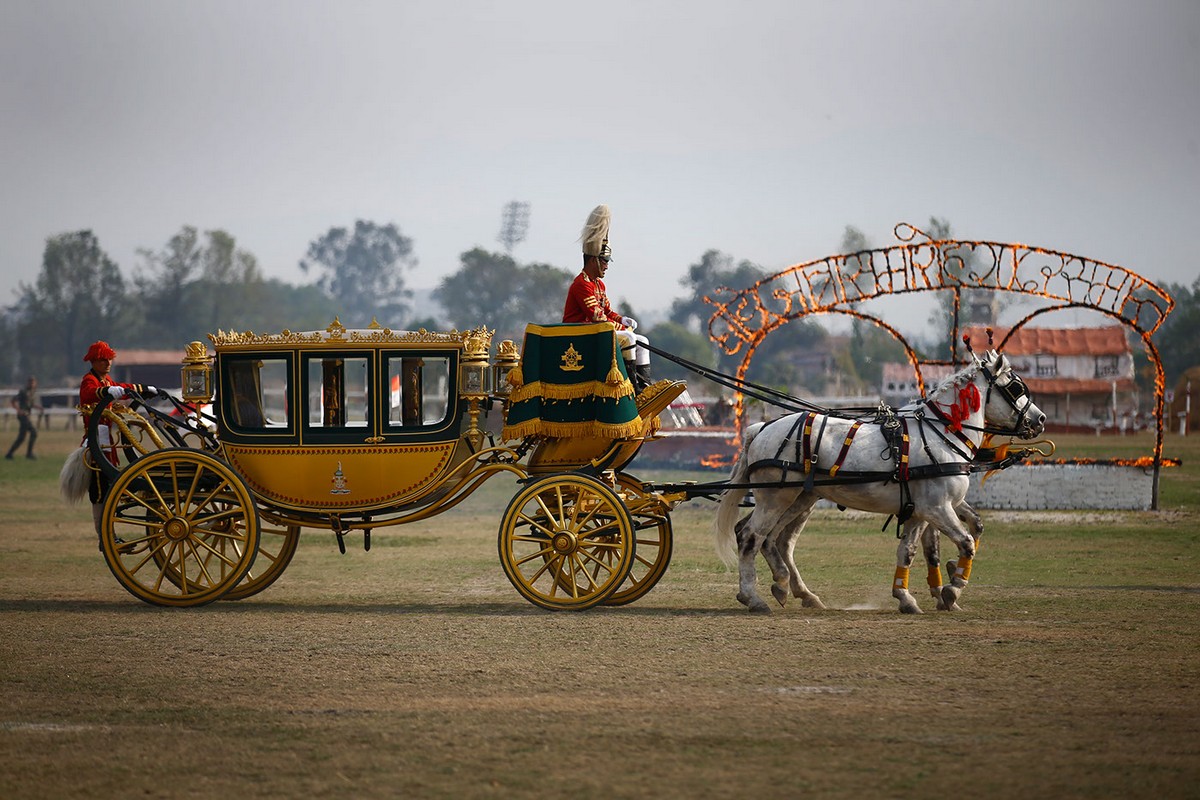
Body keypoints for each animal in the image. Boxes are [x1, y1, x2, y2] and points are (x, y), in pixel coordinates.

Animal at [715, 347, 1046, 618]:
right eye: (1015, 386)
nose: (1040, 419)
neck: (942, 434)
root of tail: (760, 428)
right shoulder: (938, 508)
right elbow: (965, 542)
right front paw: (952, 590)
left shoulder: (921, 510)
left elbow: (913, 550)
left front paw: (909, 596)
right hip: (776, 498)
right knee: (751, 537)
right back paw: (754, 597)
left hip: (799, 498)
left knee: (775, 539)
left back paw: (793, 590)